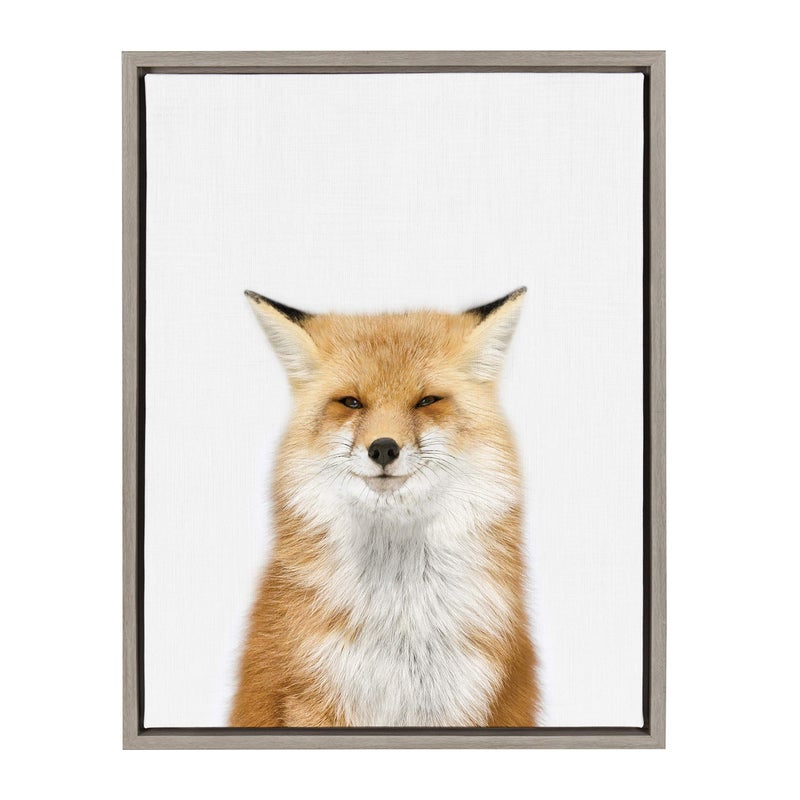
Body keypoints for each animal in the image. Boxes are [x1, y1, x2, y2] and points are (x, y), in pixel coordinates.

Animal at [229, 287, 538, 727]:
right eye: (351, 402)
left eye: (427, 401)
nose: (383, 448)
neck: (399, 621)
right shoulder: (314, 695)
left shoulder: (462, 699)